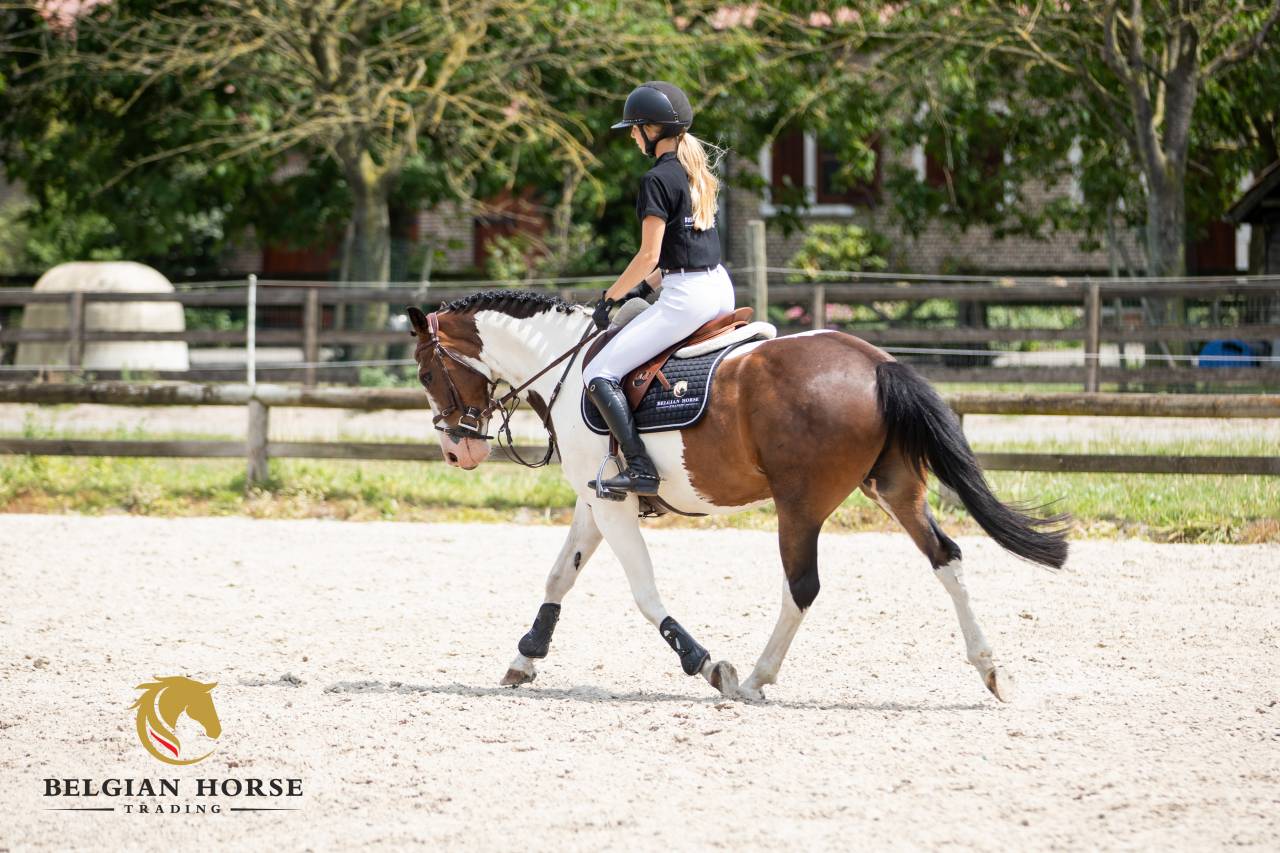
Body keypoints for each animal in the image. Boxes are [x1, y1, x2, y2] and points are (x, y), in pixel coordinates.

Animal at [406, 290, 1067, 702]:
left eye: (425, 374)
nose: (457, 452)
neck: (567, 367)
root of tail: (875, 362)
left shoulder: (613, 504)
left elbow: (644, 593)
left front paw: (706, 664)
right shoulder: (596, 501)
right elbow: (559, 575)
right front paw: (526, 656)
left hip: (800, 505)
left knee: (802, 587)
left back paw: (754, 678)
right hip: (895, 489)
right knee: (946, 560)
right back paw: (992, 671)